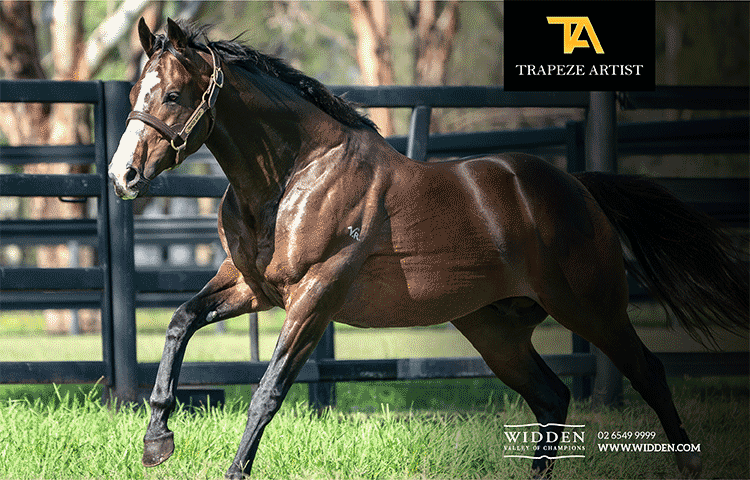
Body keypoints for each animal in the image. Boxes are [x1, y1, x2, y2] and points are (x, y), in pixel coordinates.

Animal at [108, 18, 748, 479]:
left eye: (172, 94)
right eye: (135, 91)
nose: (123, 176)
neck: (294, 176)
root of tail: (578, 187)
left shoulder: (315, 296)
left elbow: (267, 393)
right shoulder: (250, 286)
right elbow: (180, 322)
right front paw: (157, 440)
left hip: (591, 309)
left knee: (648, 373)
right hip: (495, 330)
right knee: (552, 398)